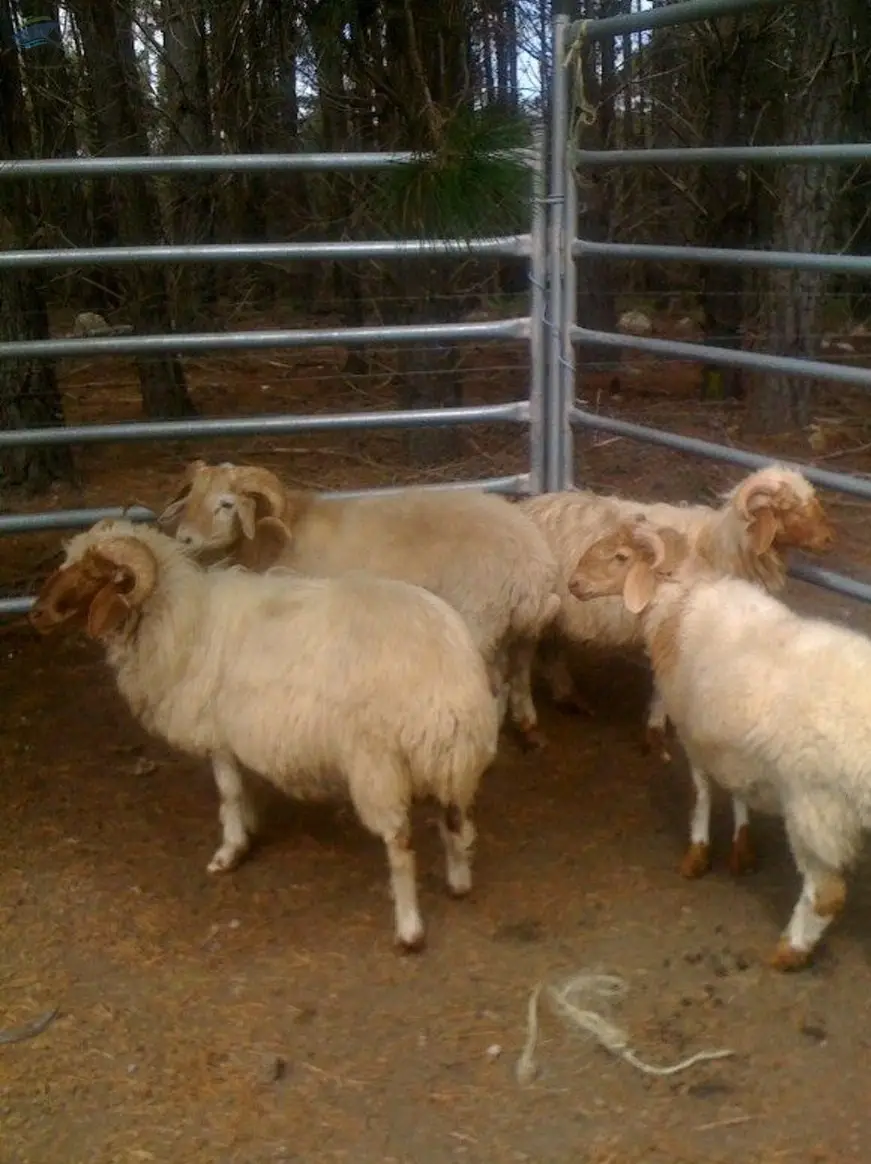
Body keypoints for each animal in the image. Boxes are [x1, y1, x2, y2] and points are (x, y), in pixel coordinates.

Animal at [28, 518, 501, 953]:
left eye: (94, 575)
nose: (36, 615)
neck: (179, 616)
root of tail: (447, 670)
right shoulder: (242, 731)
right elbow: (244, 785)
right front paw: (252, 827)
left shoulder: (216, 732)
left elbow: (228, 793)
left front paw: (230, 851)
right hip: (453, 760)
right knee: (456, 821)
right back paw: (459, 882)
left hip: (378, 766)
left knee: (400, 845)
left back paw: (409, 929)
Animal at [156, 460, 562, 749]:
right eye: (190, 499)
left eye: (225, 505)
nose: (184, 538)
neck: (279, 535)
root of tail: (532, 568)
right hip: (521, 629)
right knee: (519, 671)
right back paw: (528, 726)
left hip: (480, 622)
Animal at [568, 517, 871, 971]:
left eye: (620, 557)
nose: (573, 583)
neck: (677, 603)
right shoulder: (729, 744)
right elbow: (737, 792)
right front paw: (742, 848)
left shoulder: (692, 731)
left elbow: (702, 792)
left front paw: (697, 852)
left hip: (816, 810)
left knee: (826, 894)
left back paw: (790, 951)